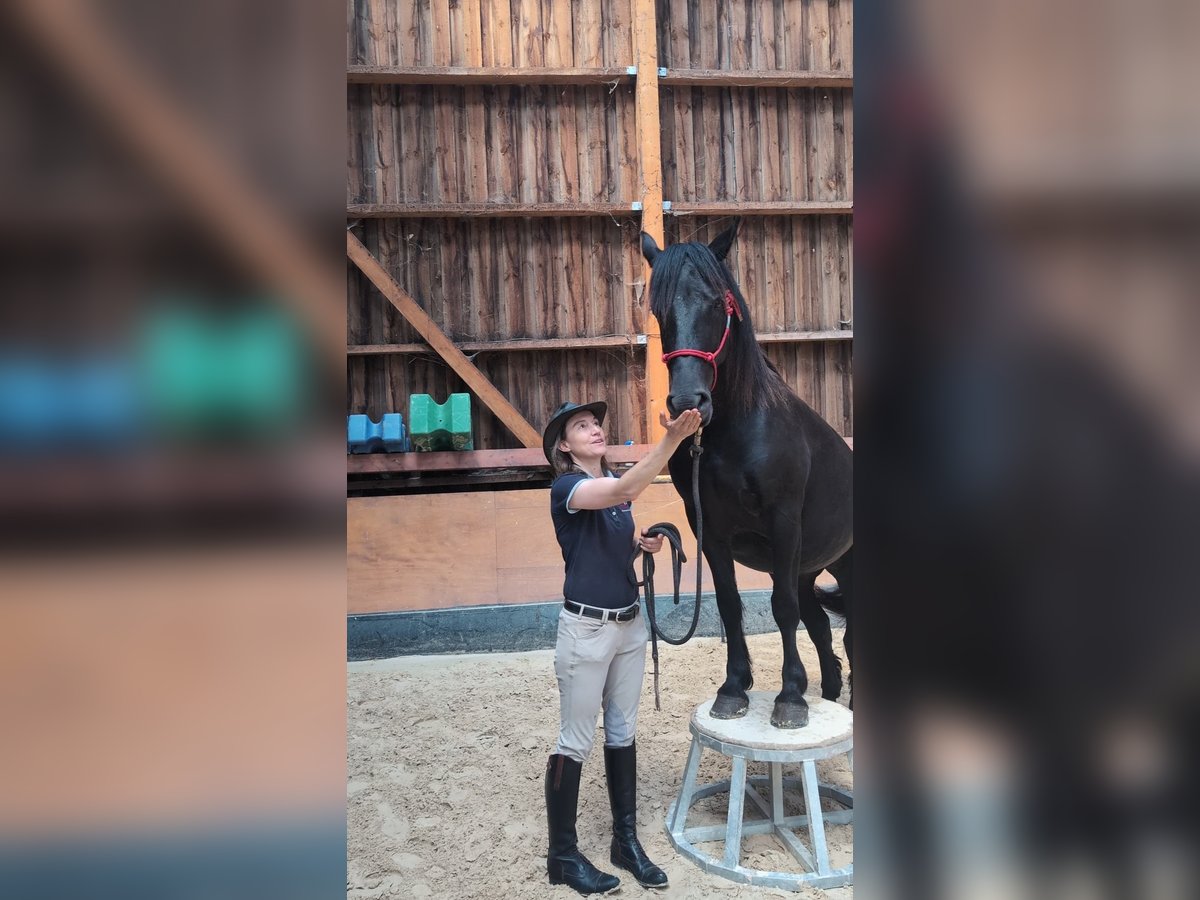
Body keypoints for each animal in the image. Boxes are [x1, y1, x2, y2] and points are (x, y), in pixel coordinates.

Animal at [641, 220, 853, 727]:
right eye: (659, 310)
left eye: (718, 304)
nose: (688, 403)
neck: (735, 434)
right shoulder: (712, 532)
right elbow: (730, 605)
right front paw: (734, 688)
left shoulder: (783, 524)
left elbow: (782, 609)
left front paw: (791, 697)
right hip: (810, 566)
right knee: (822, 626)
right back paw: (830, 693)